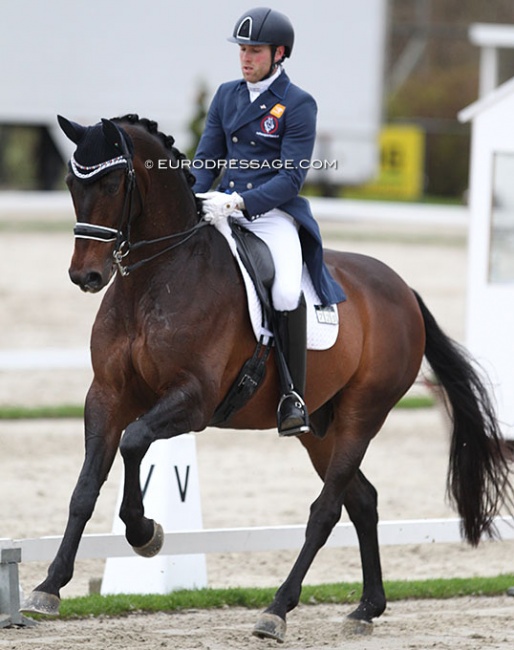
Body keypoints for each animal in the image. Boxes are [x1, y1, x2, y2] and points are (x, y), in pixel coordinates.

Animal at [23, 114, 512, 640]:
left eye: (113, 183)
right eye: (72, 182)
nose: (86, 277)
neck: (154, 279)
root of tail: (403, 290)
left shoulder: (194, 401)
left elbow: (133, 443)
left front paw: (144, 532)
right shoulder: (107, 395)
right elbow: (85, 487)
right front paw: (48, 588)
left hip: (362, 415)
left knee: (326, 509)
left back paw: (277, 609)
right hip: (319, 427)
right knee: (362, 500)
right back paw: (366, 608)